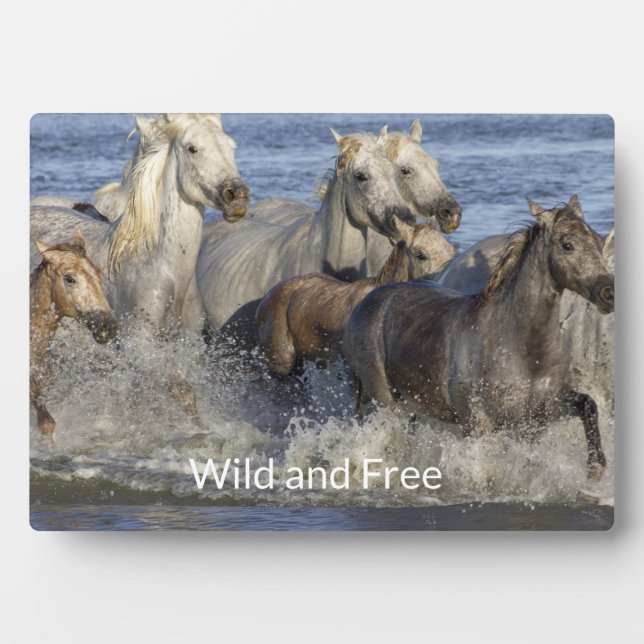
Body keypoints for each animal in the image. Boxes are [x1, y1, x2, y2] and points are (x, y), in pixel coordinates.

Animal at [343, 196, 614, 480]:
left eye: (598, 241)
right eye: (567, 245)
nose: (608, 292)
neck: (521, 349)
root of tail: (368, 300)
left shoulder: (540, 415)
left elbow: (587, 404)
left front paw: (595, 468)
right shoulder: (478, 423)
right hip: (385, 398)